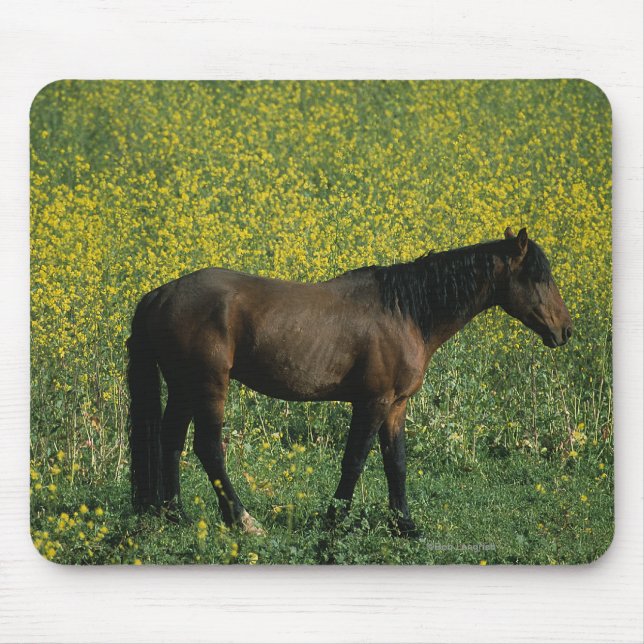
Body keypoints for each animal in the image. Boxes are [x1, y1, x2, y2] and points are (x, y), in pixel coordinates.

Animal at [127, 227, 572, 536]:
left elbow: (396, 462)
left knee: (171, 440)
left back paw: (175, 513)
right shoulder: (373, 402)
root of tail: (160, 294)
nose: (565, 331)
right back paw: (243, 520)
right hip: (208, 385)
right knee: (208, 448)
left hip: (184, 387)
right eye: (538, 277)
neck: (406, 311)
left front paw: (404, 525)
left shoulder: (396, 405)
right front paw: (334, 519)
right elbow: (355, 460)